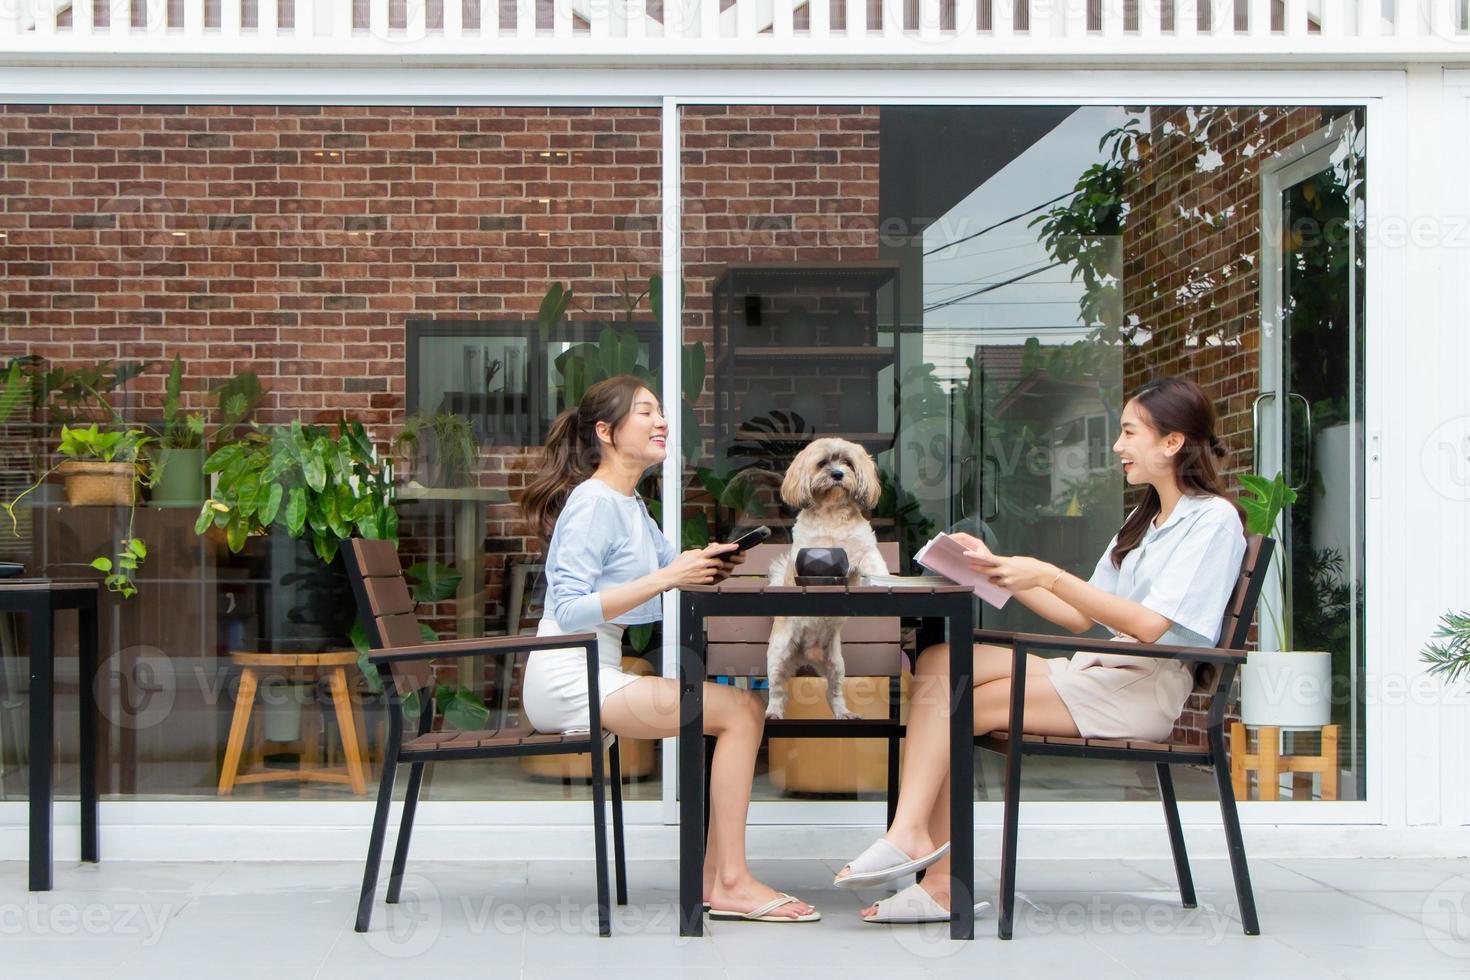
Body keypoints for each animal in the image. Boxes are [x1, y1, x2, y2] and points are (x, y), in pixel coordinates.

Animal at [770, 437, 882, 719]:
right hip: (778, 655)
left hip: (836, 666)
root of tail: (806, 655)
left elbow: (876, 566)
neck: (832, 513)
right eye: (822, 464)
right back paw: (772, 712)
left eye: (848, 463)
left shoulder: (864, 551)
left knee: (834, 694)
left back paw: (844, 713)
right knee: (777, 691)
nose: (838, 474)